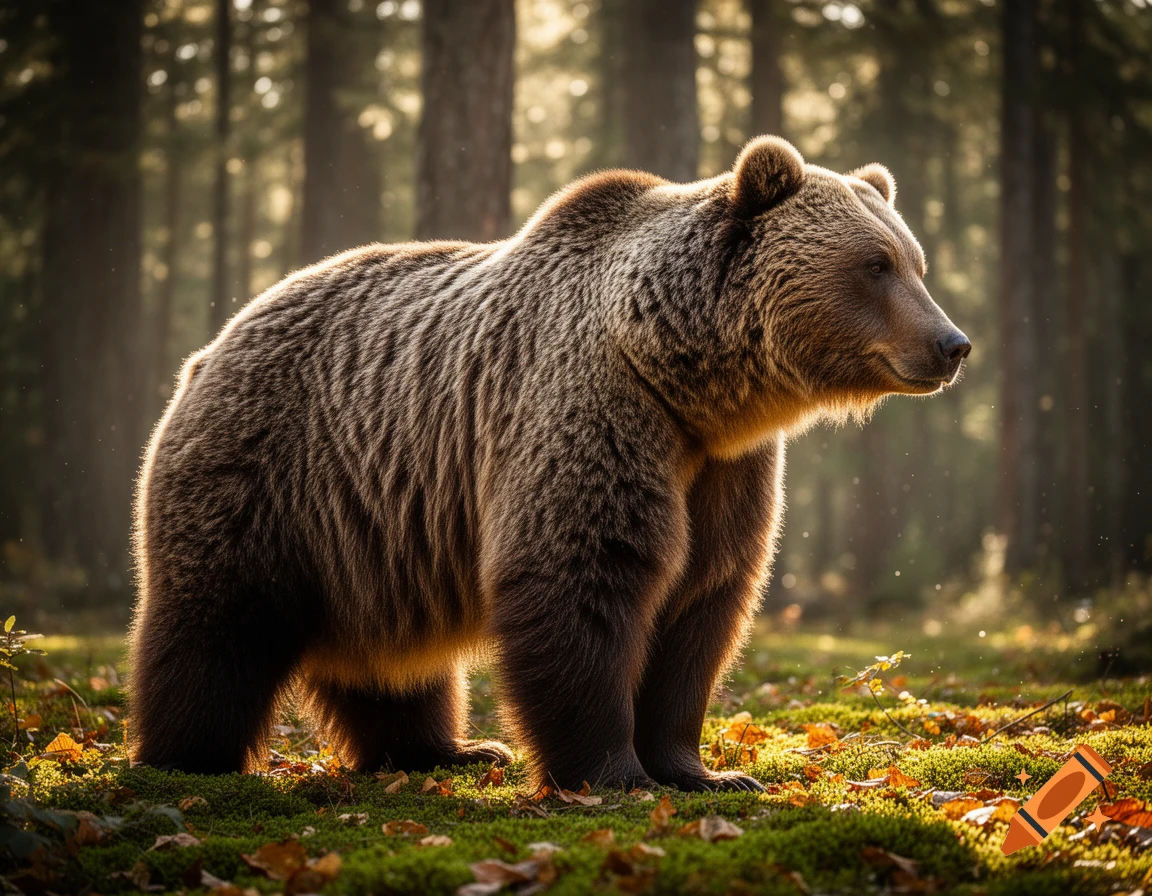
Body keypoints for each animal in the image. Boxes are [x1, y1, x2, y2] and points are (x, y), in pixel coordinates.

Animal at [129, 136, 970, 792]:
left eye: (915, 262)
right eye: (875, 264)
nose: (953, 343)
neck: (682, 376)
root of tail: (211, 345)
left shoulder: (723, 469)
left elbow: (703, 600)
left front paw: (704, 770)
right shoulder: (589, 407)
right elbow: (581, 573)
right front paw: (613, 773)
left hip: (369, 533)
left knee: (390, 659)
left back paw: (450, 751)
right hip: (263, 473)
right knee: (216, 626)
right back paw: (188, 758)